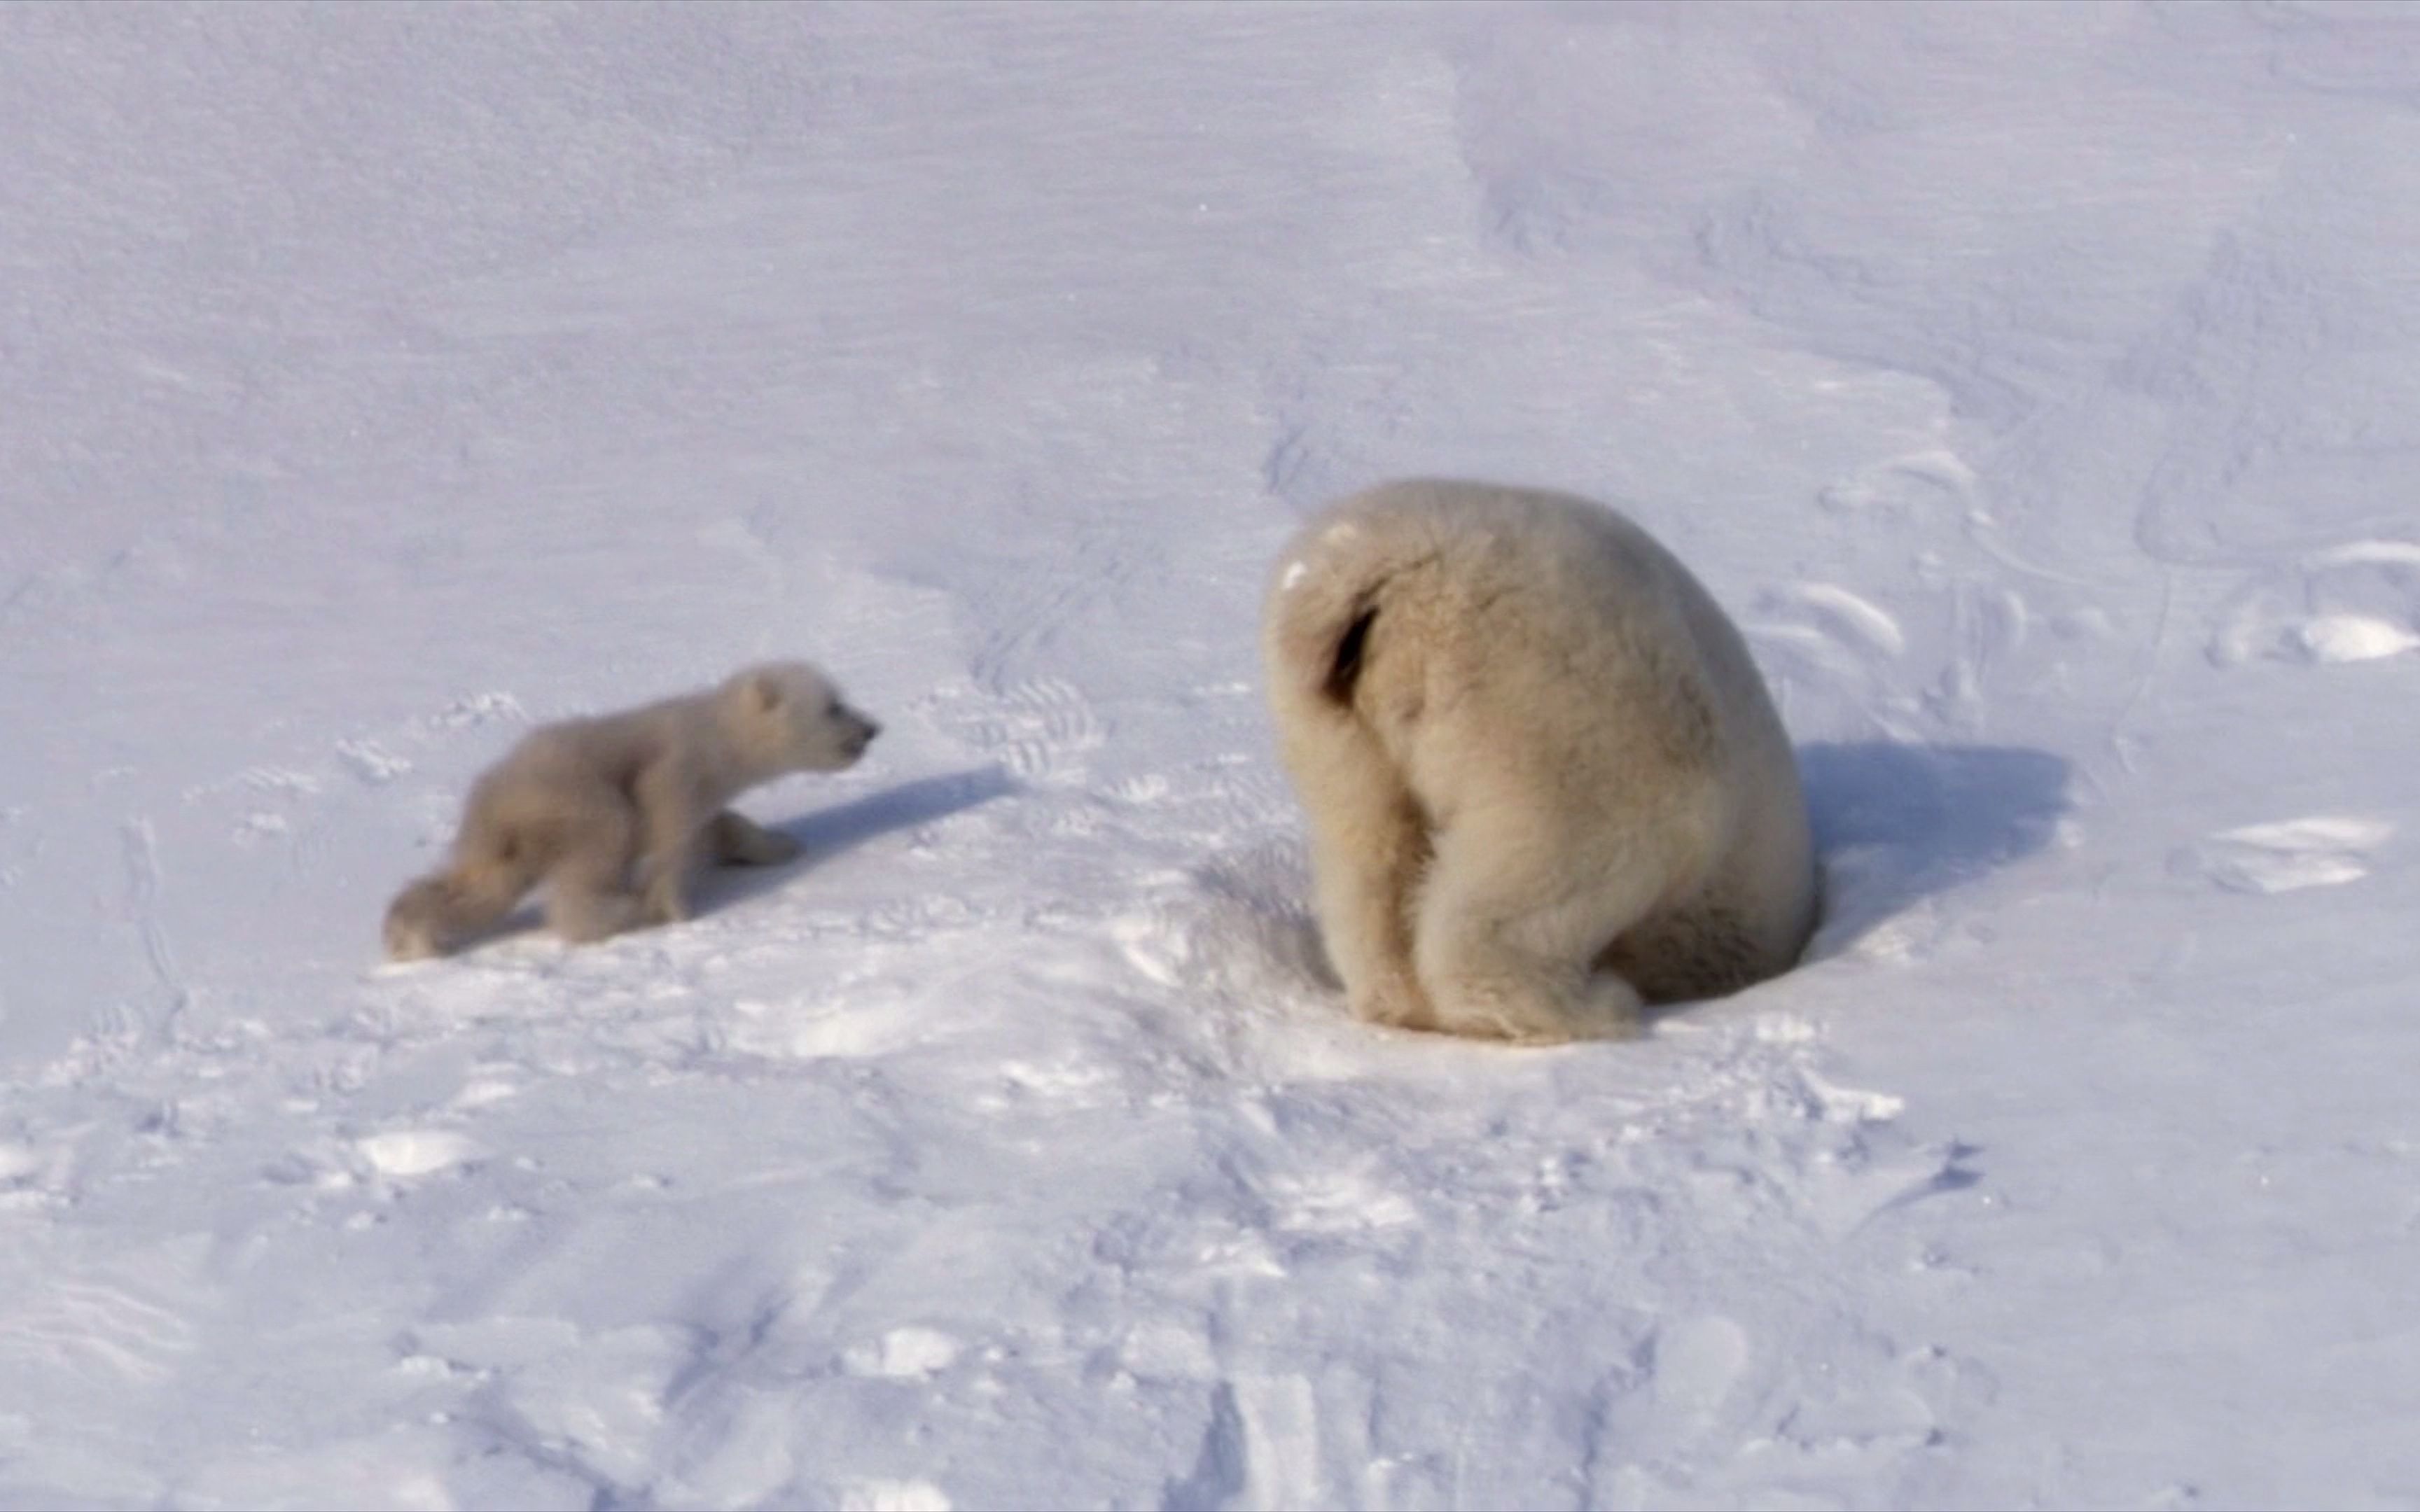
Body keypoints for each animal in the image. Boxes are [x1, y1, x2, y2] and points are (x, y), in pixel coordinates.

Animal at [1267, 481, 1819, 1035]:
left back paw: (1400, 998)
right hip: (1556, 703)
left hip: (1335, 724)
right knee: (1589, 844)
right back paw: (1590, 1005)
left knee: (1368, 846)